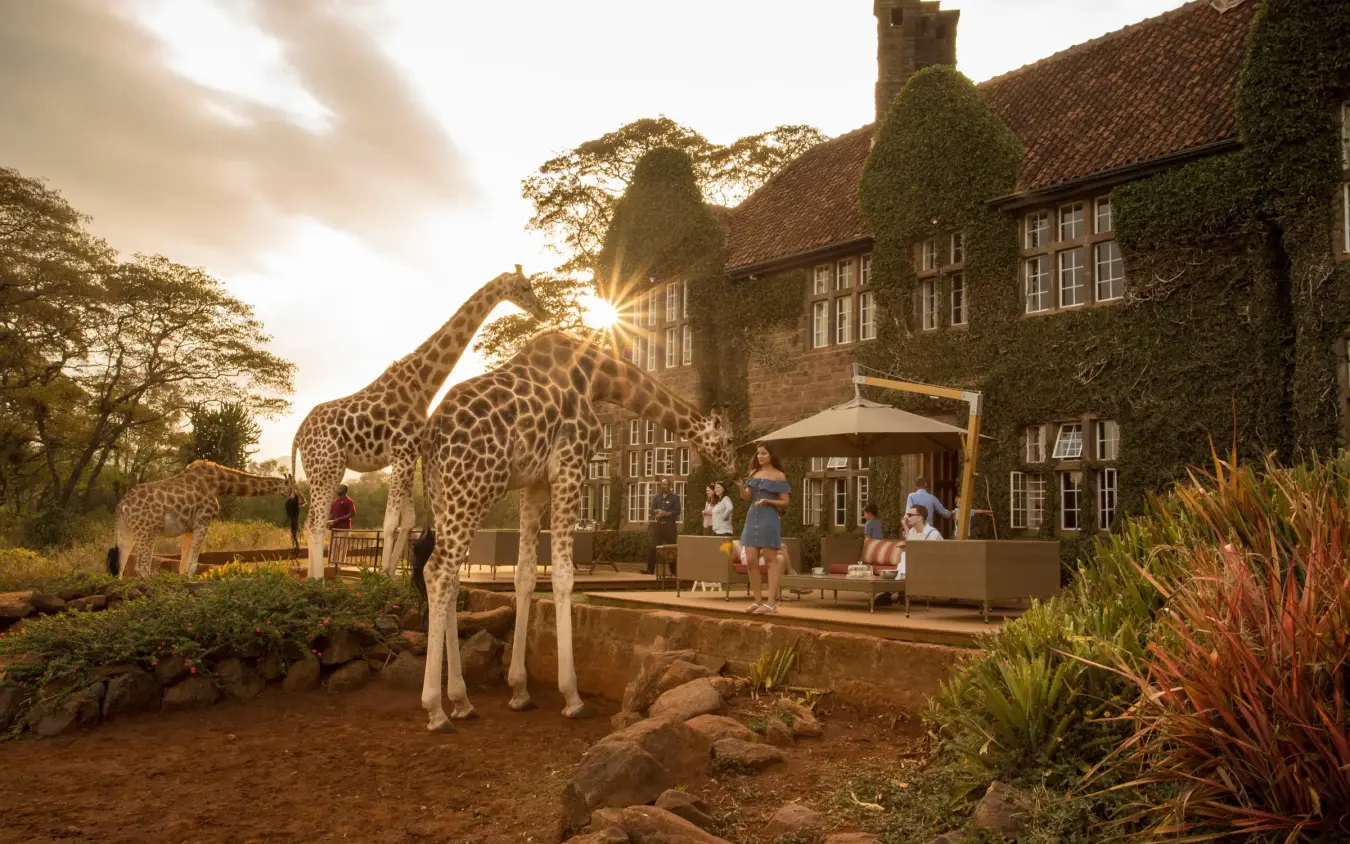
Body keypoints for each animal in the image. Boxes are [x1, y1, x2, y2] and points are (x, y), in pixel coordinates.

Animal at [106, 461, 304, 578]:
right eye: (295, 488)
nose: (304, 499)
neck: (220, 484)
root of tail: (122, 506)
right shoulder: (204, 519)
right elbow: (193, 562)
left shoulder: (188, 527)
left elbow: (183, 564)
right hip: (148, 530)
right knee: (141, 566)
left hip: (126, 530)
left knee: (120, 567)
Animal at [291, 267, 546, 580]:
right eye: (525, 286)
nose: (542, 311)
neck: (421, 386)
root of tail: (298, 434)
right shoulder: (400, 453)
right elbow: (390, 521)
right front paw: (379, 577)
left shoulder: (410, 455)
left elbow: (408, 519)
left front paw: (390, 576)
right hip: (325, 466)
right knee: (314, 522)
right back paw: (318, 581)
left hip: (326, 468)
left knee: (312, 521)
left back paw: (314, 578)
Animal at [411, 329, 739, 732]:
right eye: (728, 440)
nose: (737, 471)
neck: (597, 378)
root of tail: (431, 435)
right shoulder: (570, 466)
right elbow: (564, 576)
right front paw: (572, 696)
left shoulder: (535, 483)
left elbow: (524, 576)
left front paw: (519, 691)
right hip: (475, 487)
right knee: (438, 571)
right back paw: (436, 710)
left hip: (443, 494)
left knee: (451, 577)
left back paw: (461, 700)